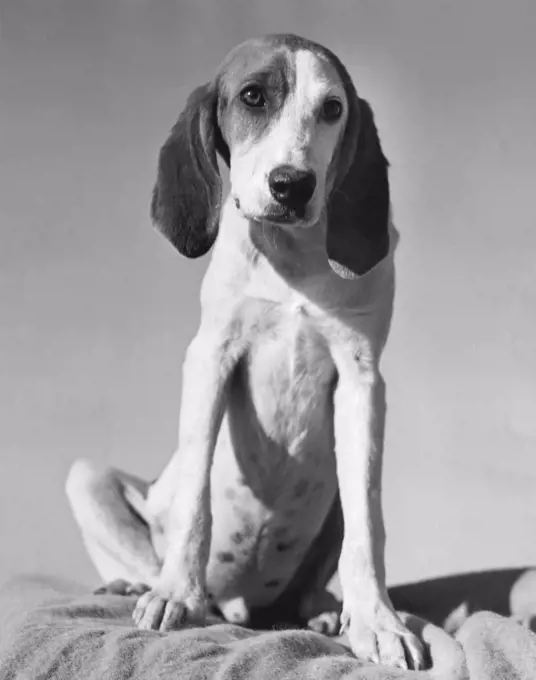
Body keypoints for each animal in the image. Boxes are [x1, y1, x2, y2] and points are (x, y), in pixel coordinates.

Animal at [66, 33, 422, 668]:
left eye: (333, 108)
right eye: (253, 97)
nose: (292, 184)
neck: (292, 257)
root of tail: (240, 609)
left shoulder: (363, 381)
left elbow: (369, 522)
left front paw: (377, 622)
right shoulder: (210, 357)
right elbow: (195, 498)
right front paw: (176, 596)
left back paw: (322, 609)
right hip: (86, 477)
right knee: (145, 540)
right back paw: (140, 585)